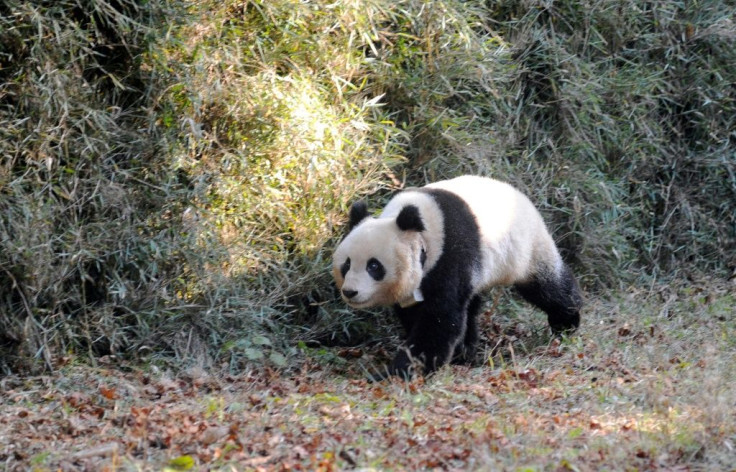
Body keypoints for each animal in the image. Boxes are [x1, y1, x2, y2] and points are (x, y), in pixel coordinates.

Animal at [332, 176, 580, 380]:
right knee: (472, 304)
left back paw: (567, 321)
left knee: (547, 286)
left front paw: (397, 372)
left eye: (373, 266)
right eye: (346, 264)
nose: (350, 292)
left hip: (527, 247)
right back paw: (466, 350)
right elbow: (417, 313)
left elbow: (440, 317)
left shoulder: (450, 254)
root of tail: (517, 192)